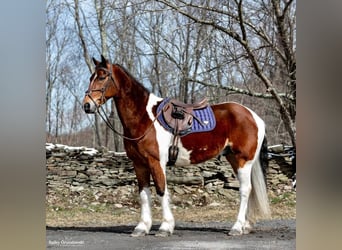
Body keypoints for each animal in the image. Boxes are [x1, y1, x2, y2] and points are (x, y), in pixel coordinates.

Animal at [82, 54, 270, 236]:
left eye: (102, 76)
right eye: (91, 77)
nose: (87, 105)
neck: (144, 118)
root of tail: (254, 117)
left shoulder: (156, 162)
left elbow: (161, 190)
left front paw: (165, 227)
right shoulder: (139, 164)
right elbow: (144, 194)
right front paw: (142, 227)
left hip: (243, 160)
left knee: (245, 190)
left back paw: (237, 227)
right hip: (234, 159)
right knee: (250, 190)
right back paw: (246, 225)